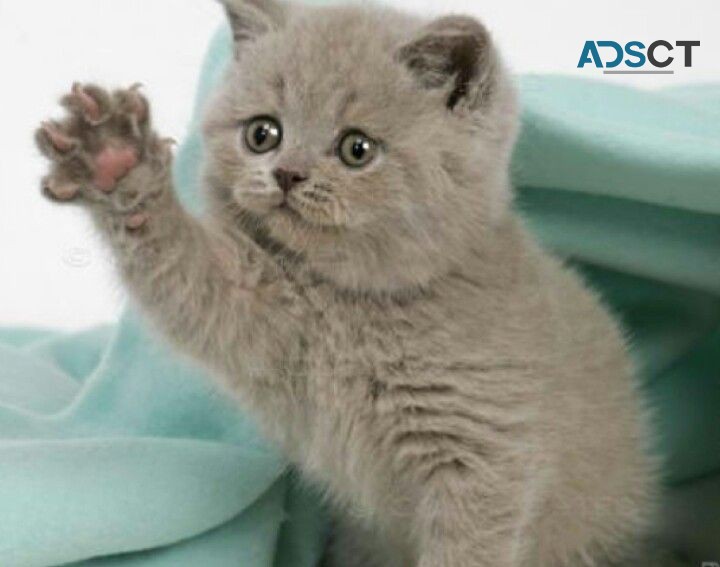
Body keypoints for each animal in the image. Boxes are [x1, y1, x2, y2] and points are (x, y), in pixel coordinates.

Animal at [36, 2, 660, 564]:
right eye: (262, 134)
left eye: (356, 149)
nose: (287, 174)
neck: (353, 305)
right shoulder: (255, 312)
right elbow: (189, 274)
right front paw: (115, 161)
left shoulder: (483, 458)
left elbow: (470, 547)